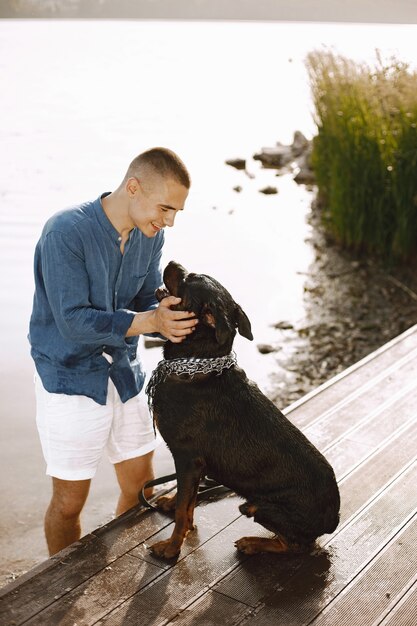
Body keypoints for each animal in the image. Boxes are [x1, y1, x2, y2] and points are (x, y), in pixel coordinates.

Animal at [146, 258, 338, 556]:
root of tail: (332, 521)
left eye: (188, 279)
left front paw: (171, 547)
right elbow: (187, 504)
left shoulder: (187, 457)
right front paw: (179, 515)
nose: (172, 261)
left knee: (294, 544)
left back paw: (252, 543)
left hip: (260, 507)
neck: (197, 364)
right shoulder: (197, 464)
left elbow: (181, 511)